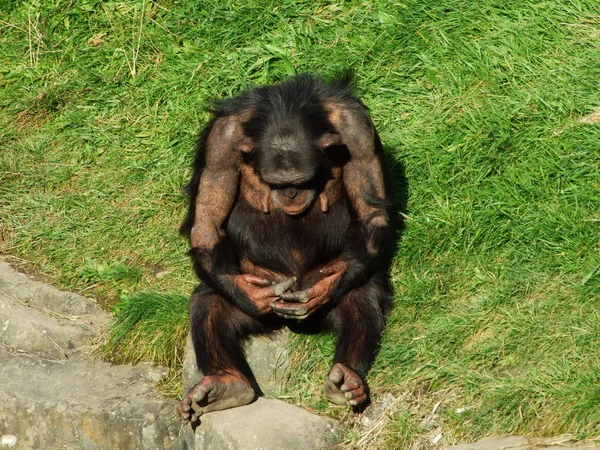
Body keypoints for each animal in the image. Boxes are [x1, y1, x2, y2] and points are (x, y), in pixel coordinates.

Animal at [176, 74, 396, 422]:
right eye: (278, 183)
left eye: (302, 181)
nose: (291, 194)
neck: (286, 111)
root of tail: (286, 325)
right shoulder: (220, 143)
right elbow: (208, 223)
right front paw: (254, 296)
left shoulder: (357, 130)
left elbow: (371, 213)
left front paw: (322, 291)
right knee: (208, 302)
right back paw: (225, 385)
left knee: (362, 292)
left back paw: (346, 380)